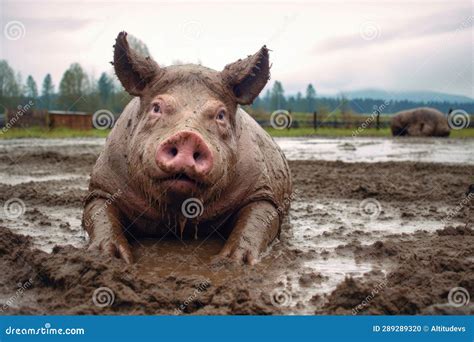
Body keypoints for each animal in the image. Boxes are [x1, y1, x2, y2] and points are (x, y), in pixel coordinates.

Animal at [83, 32, 294, 266]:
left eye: (221, 114)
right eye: (156, 108)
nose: (188, 136)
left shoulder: (262, 189)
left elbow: (260, 216)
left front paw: (231, 261)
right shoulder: (102, 185)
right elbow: (98, 211)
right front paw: (110, 257)